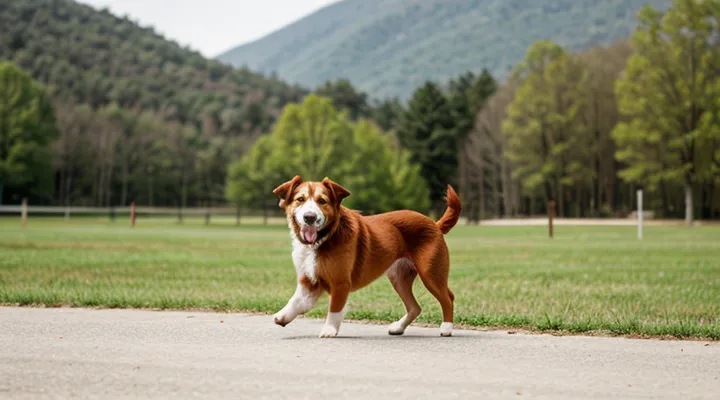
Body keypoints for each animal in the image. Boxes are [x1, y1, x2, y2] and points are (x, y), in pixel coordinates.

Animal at [270, 175, 462, 338]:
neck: (324, 238)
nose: (309, 217)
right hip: (398, 278)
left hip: (430, 273)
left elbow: (334, 309)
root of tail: (435, 224)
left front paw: (329, 330)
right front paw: (283, 315)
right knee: (415, 307)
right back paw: (398, 327)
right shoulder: (308, 281)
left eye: (322, 201)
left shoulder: (340, 283)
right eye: (300, 199)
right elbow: (297, 301)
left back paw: (446, 327)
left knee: (448, 298)